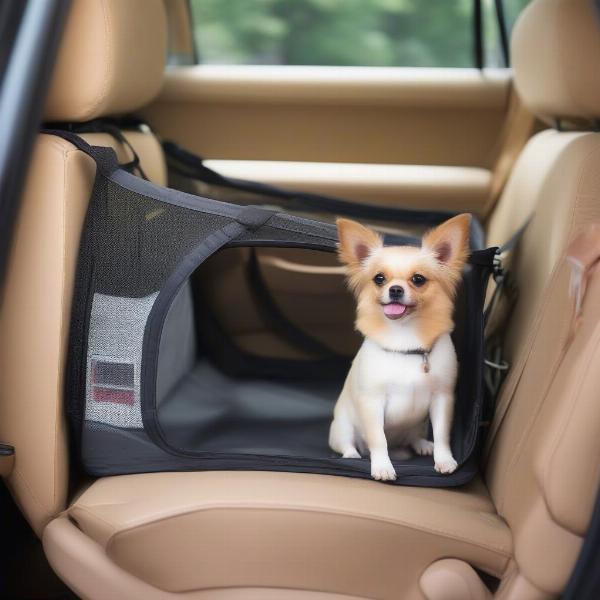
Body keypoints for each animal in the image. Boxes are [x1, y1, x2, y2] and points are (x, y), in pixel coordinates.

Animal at [330, 213, 472, 480]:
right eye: (379, 279)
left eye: (418, 279)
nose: (395, 289)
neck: (405, 336)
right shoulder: (372, 402)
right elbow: (378, 439)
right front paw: (382, 467)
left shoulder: (442, 398)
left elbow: (442, 435)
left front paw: (444, 460)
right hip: (341, 427)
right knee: (348, 443)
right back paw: (352, 455)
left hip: (418, 424)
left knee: (414, 437)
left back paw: (424, 445)